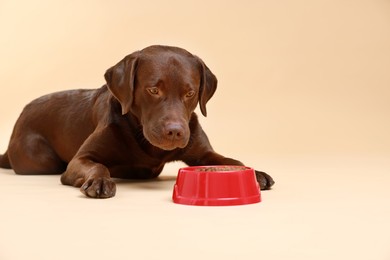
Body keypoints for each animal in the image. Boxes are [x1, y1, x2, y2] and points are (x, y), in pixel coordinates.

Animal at [0, 45, 274, 198]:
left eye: (190, 93)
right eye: (153, 90)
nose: (175, 132)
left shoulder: (203, 152)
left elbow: (231, 160)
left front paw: (256, 173)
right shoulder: (81, 159)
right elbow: (97, 166)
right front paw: (99, 181)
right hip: (41, 159)